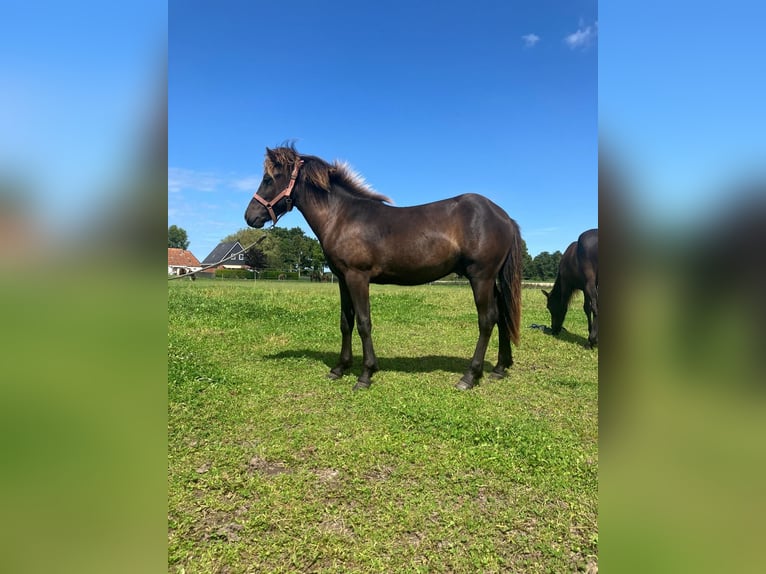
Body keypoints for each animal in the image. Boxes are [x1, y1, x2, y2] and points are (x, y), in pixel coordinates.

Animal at [246, 146, 528, 394]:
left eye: (268, 179)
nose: (250, 217)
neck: (342, 216)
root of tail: (503, 216)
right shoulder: (342, 279)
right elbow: (346, 322)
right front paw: (339, 368)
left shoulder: (357, 277)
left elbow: (363, 322)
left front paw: (365, 375)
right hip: (491, 280)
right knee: (501, 316)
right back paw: (499, 368)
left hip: (481, 277)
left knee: (487, 320)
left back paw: (469, 376)